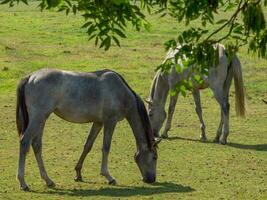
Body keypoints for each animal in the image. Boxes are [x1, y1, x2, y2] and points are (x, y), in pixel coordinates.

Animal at [15, 68, 160, 191]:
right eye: (154, 157)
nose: (151, 179)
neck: (121, 92)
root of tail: (30, 77)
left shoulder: (98, 123)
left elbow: (88, 146)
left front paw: (78, 173)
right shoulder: (110, 122)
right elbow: (106, 147)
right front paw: (108, 176)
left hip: (41, 120)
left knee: (36, 145)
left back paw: (48, 180)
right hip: (38, 118)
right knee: (25, 142)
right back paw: (23, 183)